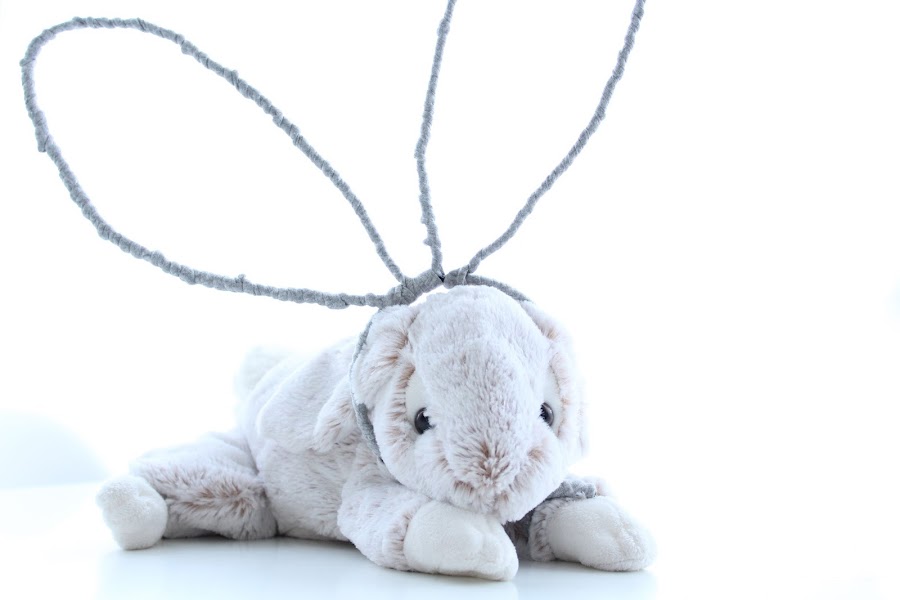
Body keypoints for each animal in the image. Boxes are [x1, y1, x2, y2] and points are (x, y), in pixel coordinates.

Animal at [96, 285, 655, 580]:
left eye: (547, 413)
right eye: (421, 420)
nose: (493, 485)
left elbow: (561, 506)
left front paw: (618, 532)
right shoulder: (367, 483)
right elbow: (400, 519)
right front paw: (475, 540)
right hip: (231, 467)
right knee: (198, 478)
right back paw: (128, 505)